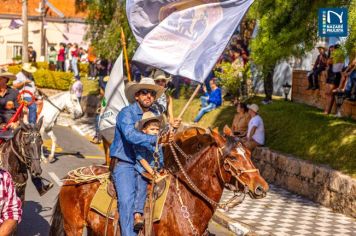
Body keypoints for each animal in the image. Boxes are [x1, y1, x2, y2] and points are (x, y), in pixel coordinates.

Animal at [49, 127, 268, 236]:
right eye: (232, 158)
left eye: (249, 154)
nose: (261, 187)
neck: (187, 202)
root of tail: (72, 176)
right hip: (73, 227)